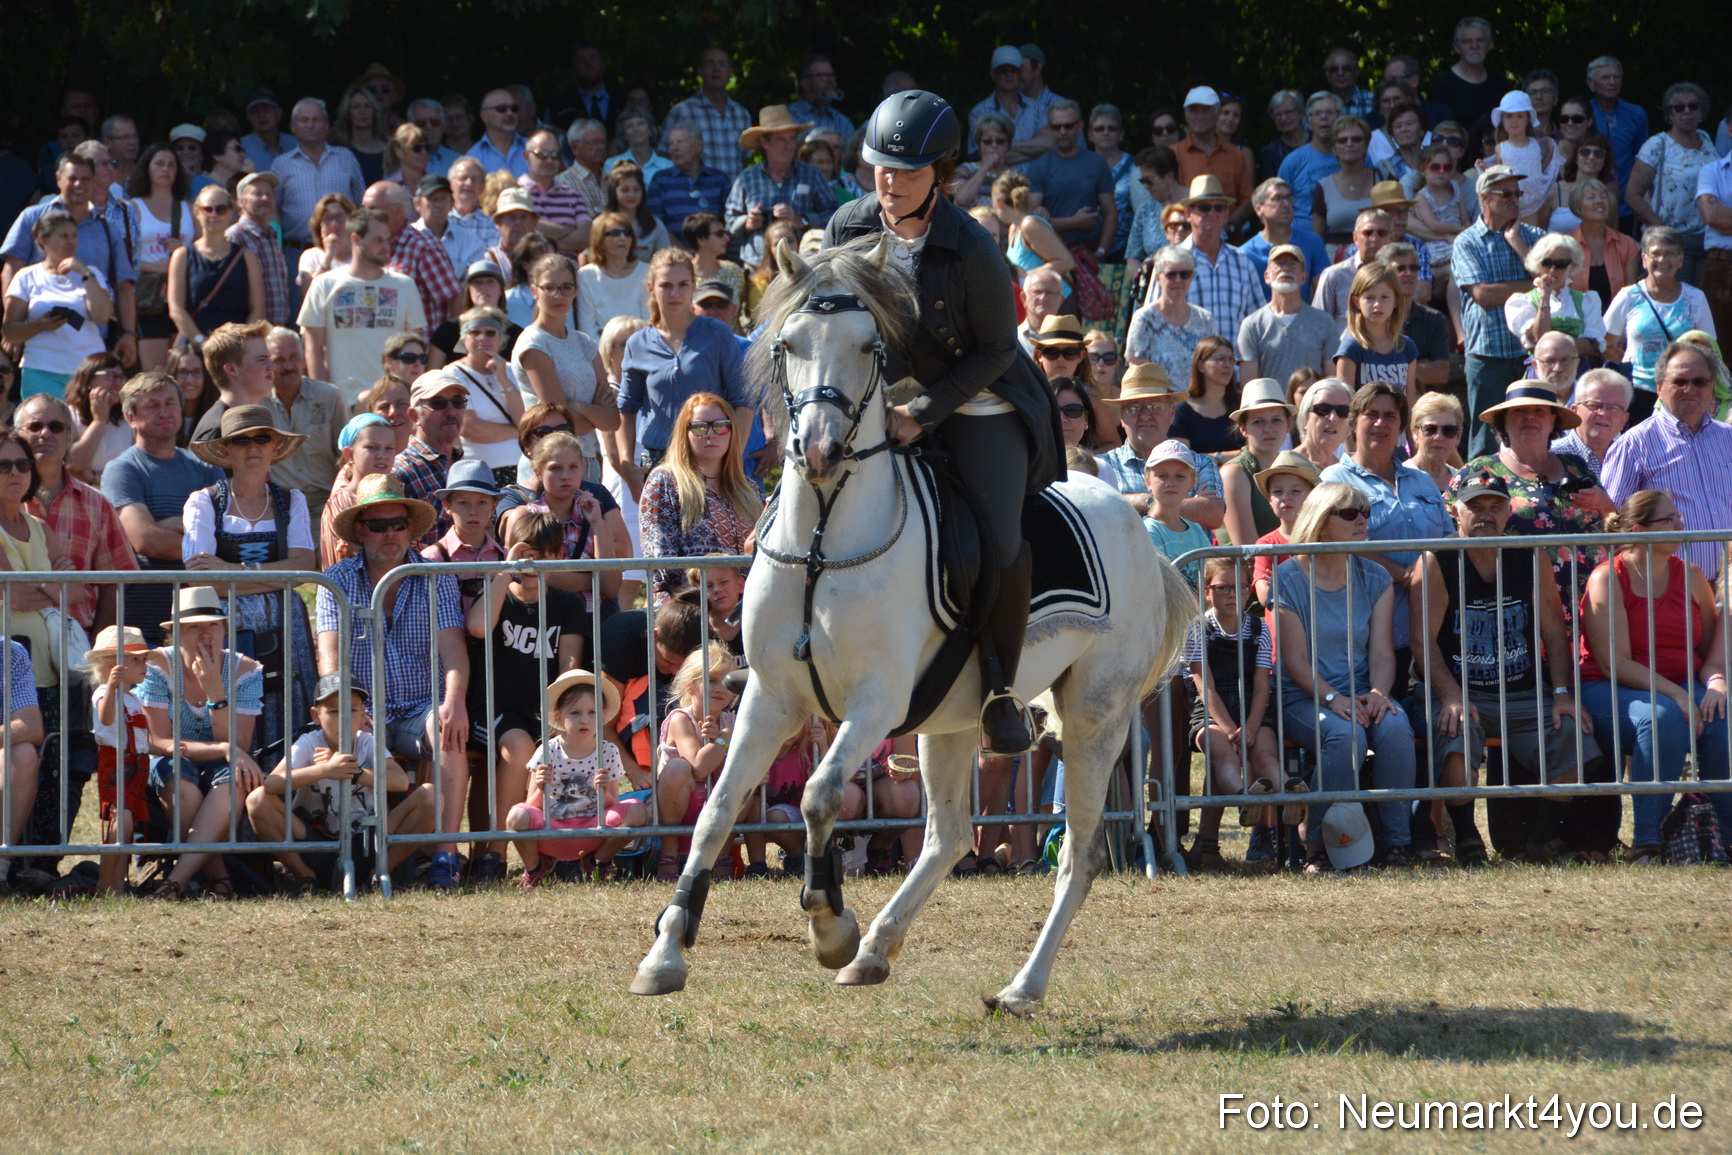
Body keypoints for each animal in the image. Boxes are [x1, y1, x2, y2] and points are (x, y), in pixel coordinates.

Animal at [630, 235, 1195, 1015]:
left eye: (870, 346)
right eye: (788, 343)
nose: (818, 449)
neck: (823, 540)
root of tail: (1140, 529)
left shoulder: (876, 701)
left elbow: (819, 794)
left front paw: (829, 923)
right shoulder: (770, 698)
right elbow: (716, 811)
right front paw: (666, 951)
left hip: (1094, 716)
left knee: (1077, 857)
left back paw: (1018, 986)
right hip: (952, 719)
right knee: (949, 835)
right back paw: (877, 950)